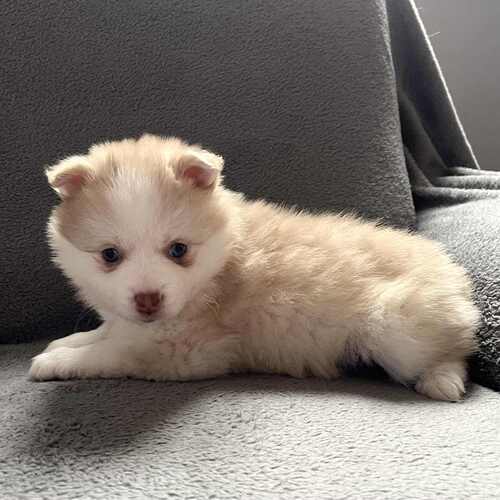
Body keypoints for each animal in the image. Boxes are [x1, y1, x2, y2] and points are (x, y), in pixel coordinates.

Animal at [30, 134, 480, 401]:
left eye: (178, 250)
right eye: (110, 255)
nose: (148, 300)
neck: (219, 261)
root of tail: (453, 273)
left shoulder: (185, 353)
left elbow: (112, 353)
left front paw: (56, 362)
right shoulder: (131, 321)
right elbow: (108, 331)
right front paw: (68, 341)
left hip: (396, 328)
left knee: (453, 350)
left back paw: (442, 380)